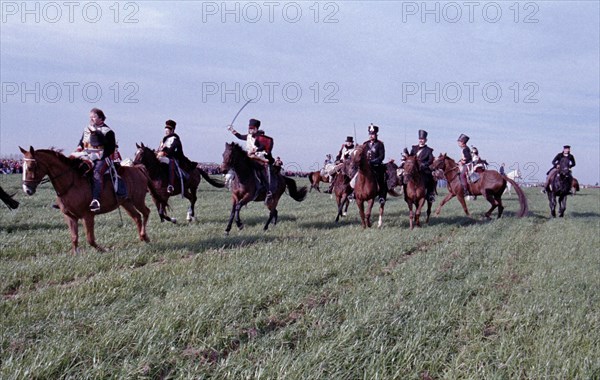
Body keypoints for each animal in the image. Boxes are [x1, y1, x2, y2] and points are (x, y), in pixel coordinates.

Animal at [20, 147, 165, 254]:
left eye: (31, 166)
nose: (27, 189)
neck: (71, 183)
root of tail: (138, 168)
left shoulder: (88, 215)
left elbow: (90, 239)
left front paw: (103, 249)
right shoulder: (70, 217)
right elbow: (74, 237)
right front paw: (75, 254)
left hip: (138, 200)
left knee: (146, 212)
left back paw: (144, 236)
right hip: (126, 203)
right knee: (137, 217)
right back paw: (142, 237)